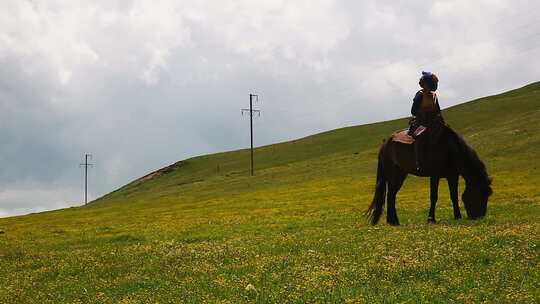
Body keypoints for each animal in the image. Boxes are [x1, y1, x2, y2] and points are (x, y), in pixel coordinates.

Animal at [364, 124, 492, 226]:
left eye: (487, 195)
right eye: (481, 194)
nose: (479, 216)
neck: (450, 149)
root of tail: (384, 145)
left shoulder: (452, 176)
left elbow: (454, 196)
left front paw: (457, 216)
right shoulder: (435, 175)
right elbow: (434, 197)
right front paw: (431, 219)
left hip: (401, 175)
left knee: (392, 195)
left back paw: (393, 221)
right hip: (394, 176)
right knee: (390, 195)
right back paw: (394, 221)